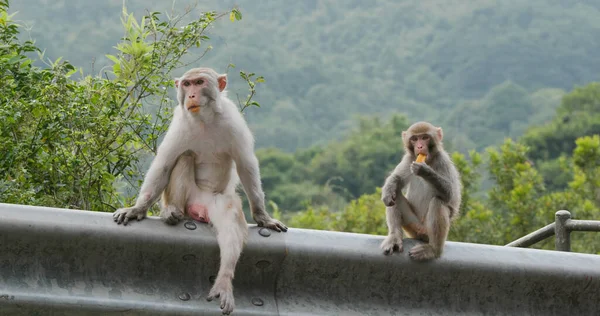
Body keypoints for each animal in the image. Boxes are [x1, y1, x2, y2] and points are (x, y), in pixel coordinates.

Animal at [115, 66, 290, 314]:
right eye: (186, 84)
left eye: (199, 82)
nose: (191, 95)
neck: (205, 119)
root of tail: (196, 208)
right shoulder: (179, 123)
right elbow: (165, 164)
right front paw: (137, 209)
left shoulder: (234, 121)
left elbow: (246, 165)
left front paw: (263, 217)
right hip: (189, 197)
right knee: (185, 156)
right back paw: (172, 212)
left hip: (213, 201)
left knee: (229, 217)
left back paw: (224, 281)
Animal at [382, 121, 462, 260]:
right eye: (414, 139)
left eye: (425, 137)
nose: (419, 146)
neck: (428, 160)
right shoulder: (409, 159)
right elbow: (397, 179)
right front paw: (387, 192)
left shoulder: (443, 160)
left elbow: (450, 194)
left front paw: (424, 171)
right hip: (412, 225)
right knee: (395, 194)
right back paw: (394, 237)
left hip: (427, 231)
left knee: (438, 202)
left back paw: (433, 250)